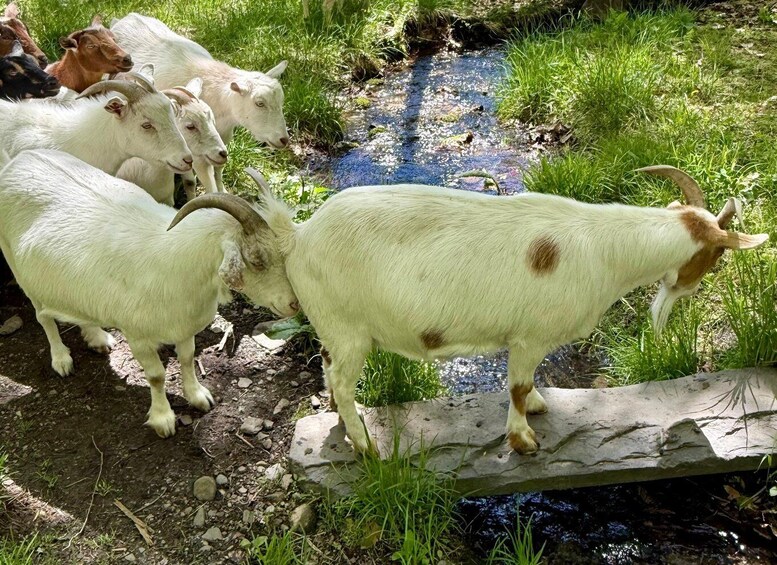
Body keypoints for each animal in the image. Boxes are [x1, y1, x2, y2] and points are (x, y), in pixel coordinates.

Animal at [0, 149, 299, 437]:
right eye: (256, 260)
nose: (294, 304)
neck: (179, 265)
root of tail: (19, 161)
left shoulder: (184, 325)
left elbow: (187, 358)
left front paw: (198, 396)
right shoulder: (138, 336)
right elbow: (156, 375)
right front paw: (163, 419)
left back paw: (97, 338)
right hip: (18, 268)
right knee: (43, 317)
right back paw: (61, 359)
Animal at [206, 167, 766, 455]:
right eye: (716, 256)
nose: (689, 289)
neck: (604, 249)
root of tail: (297, 239)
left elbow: (527, 385)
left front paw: (539, 405)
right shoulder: (528, 337)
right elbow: (515, 386)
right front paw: (523, 440)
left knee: (327, 373)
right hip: (348, 331)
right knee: (341, 382)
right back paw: (365, 443)